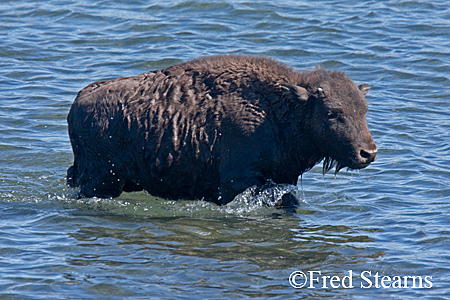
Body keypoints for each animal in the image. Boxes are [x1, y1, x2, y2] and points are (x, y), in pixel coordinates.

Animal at [66, 54, 376, 206]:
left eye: (364, 109)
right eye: (331, 112)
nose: (368, 153)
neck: (278, 108)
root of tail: (79, 100)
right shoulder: (240, 182)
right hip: (103, 181)